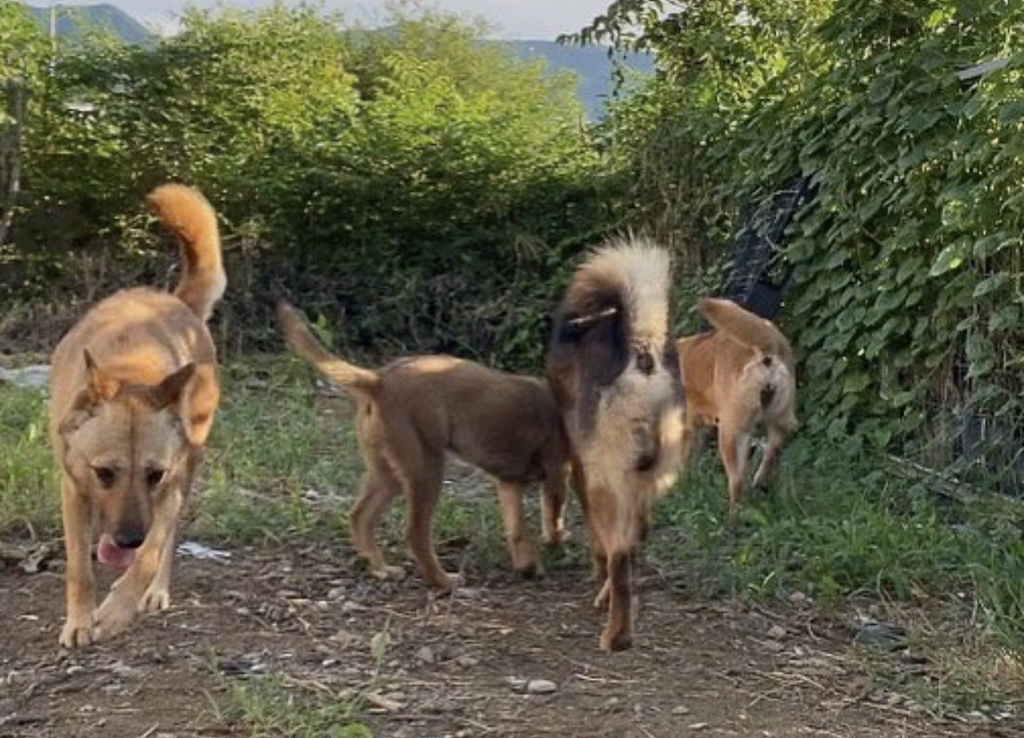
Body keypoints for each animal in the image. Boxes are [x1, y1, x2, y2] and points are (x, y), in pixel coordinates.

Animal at [50, 184, 225, 648]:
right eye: (104, 472)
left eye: (153, 474)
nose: (128, 539)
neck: (130, 370)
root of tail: (175, 300)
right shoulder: (73, 490)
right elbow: (79, 567)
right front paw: (78, 620)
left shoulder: (168, 489)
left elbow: (151, 552)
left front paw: (116, 609)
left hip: (190, 466)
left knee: (167, 541)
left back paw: (154, 591)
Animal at [277, 301, 571, 590]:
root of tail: (379, 379)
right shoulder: (555, 473)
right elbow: (553, 517)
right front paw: (554, 544)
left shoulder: (510, 482)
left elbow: (517, 529)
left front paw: (528, 565)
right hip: (426, 469)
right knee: (415, 532)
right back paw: (442, 580)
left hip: (388, 473)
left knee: (360, 516)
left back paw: (383, 570)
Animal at [547, 236, 684, 652]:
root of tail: (643, 354)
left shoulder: (581, 467)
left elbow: (597, 541)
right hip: (648, 481)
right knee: (636, 540)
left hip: (610, 480)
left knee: (620, 555)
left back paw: (616, 635)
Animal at [677, 297, 797, 514]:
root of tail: (770, 343)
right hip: (779, 419)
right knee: (773, 451)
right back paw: (761, 483)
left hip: (731, 433)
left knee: (737, 482)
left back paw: (734, 515)